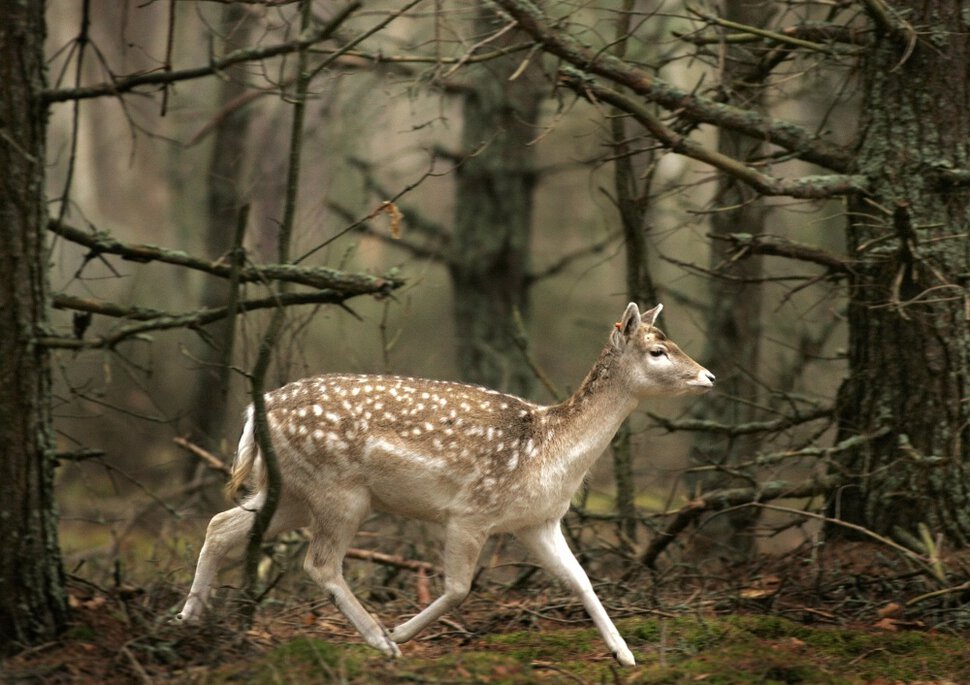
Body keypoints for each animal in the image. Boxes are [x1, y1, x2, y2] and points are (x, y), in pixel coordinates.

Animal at [178, 304, 716, 664]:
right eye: (658, 350)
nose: (708, 376)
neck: (549, 450)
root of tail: (256, 411)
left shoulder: (537, 522)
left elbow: (580, 578)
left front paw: (624, 654)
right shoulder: (471, 511)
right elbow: (459, 588)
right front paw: (401, 631)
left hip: (288, 491)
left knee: (220, 525)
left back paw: (186, 621)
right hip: (338, 491)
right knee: (320, 563)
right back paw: (381, 641)